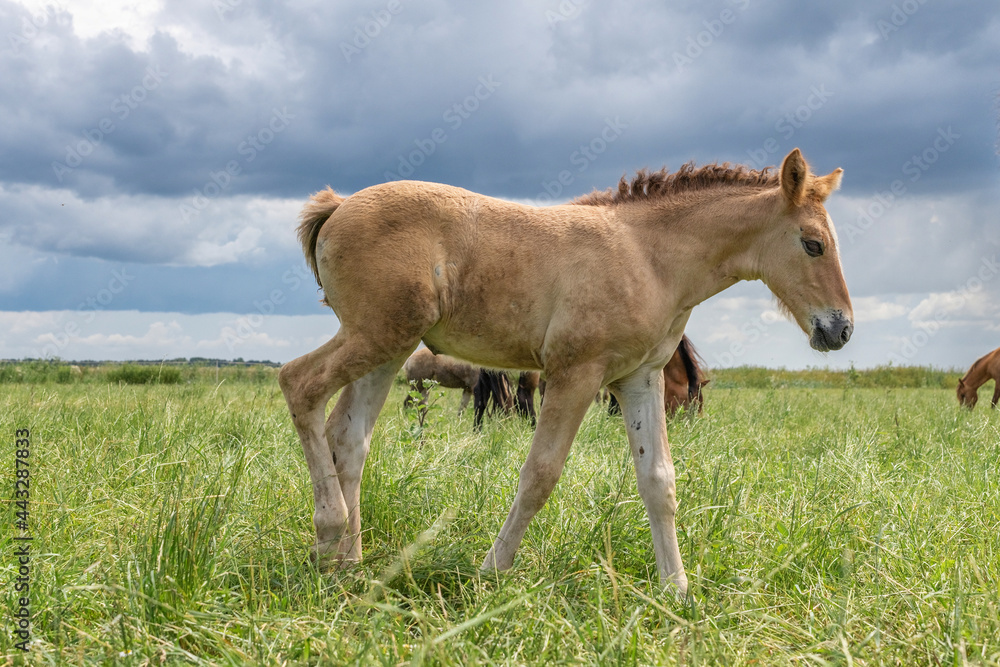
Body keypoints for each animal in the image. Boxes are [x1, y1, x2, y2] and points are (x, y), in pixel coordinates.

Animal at [278, 148, 852, 596]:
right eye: (813, 244)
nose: (841, 328)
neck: (648, 255)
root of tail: (338, 205)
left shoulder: (639, 379)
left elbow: (658, 481)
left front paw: (677, 590)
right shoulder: (576, 374)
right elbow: (540, 474)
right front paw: (492, 572)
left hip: (389, 349)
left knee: (349, 437)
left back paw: (349, 565)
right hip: (374, 337)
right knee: (298, 384)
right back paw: (328, 537)